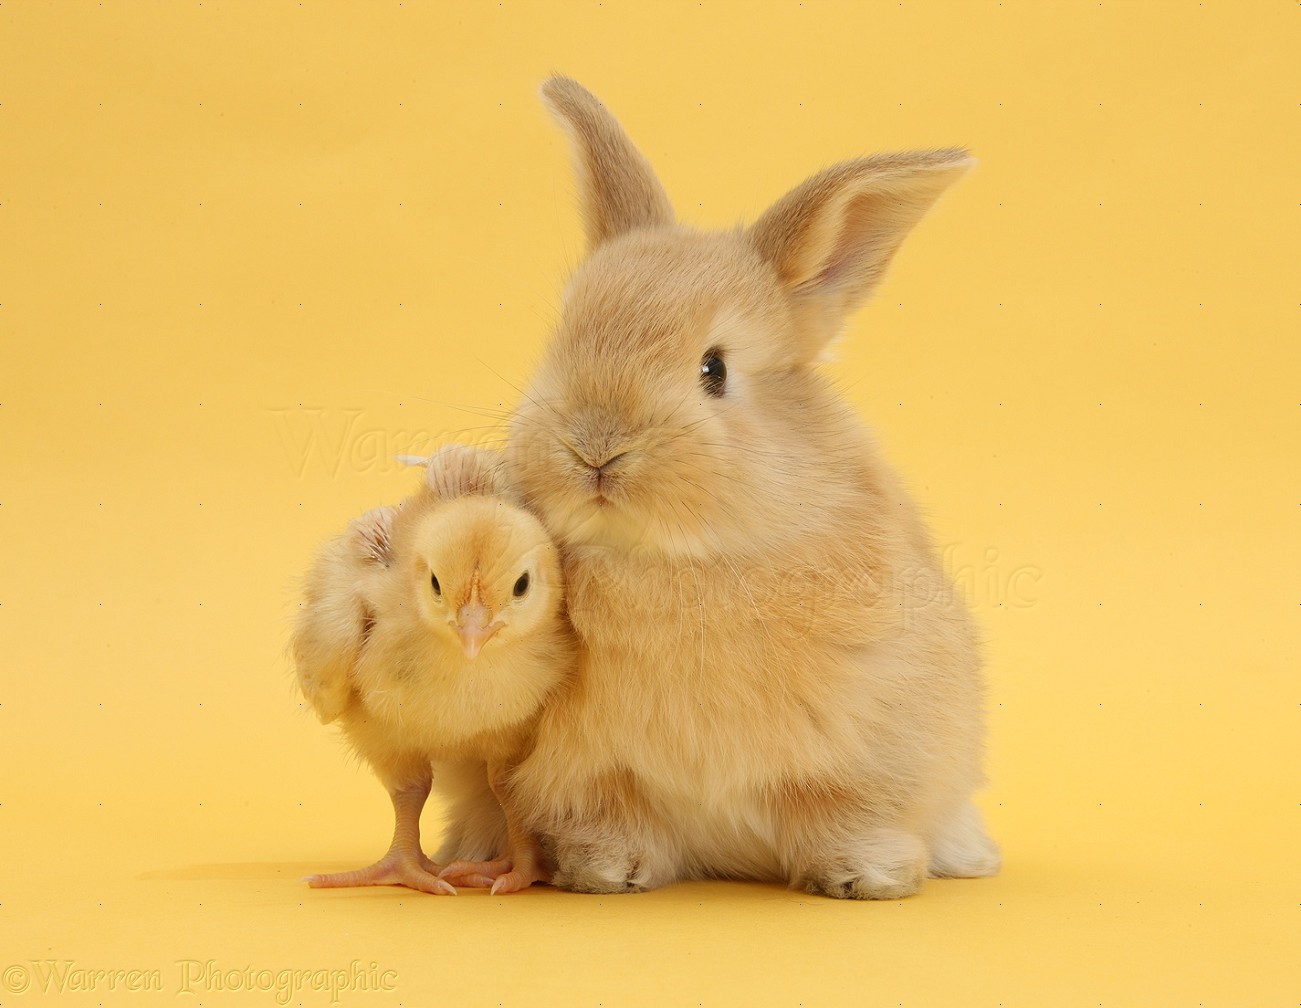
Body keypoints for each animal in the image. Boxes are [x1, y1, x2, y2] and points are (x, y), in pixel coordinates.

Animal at [501, 77, 1000, 899]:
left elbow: (847, 812)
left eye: (714, 369)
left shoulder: (872, 742)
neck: (672, 559)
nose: (594, 447)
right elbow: (610, 814)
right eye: (561, 341)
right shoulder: (586, 770)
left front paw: (866, 878)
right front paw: (605, 872)